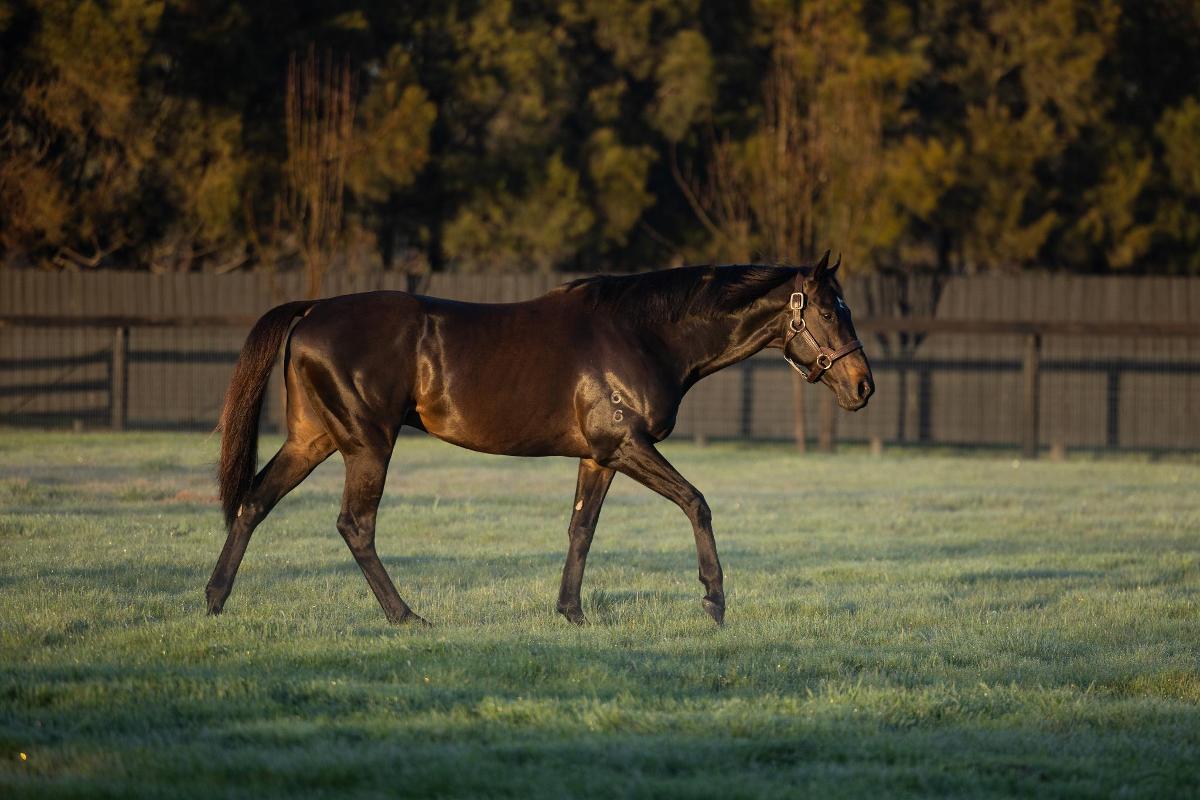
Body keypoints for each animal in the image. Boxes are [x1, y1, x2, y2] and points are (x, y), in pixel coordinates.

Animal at [205, 251, 873, 626]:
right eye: (830, 310)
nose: (863, 385)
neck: (643, 332)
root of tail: (313, 309)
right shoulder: (628, 446)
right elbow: (697, 502)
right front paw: (714, 601)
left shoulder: (599, 457)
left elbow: (581, 529)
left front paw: (571, 612)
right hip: (368, 443)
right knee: (355, 525)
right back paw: (404, 615)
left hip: (314, 439)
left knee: (254, 501)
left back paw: (213, 600)